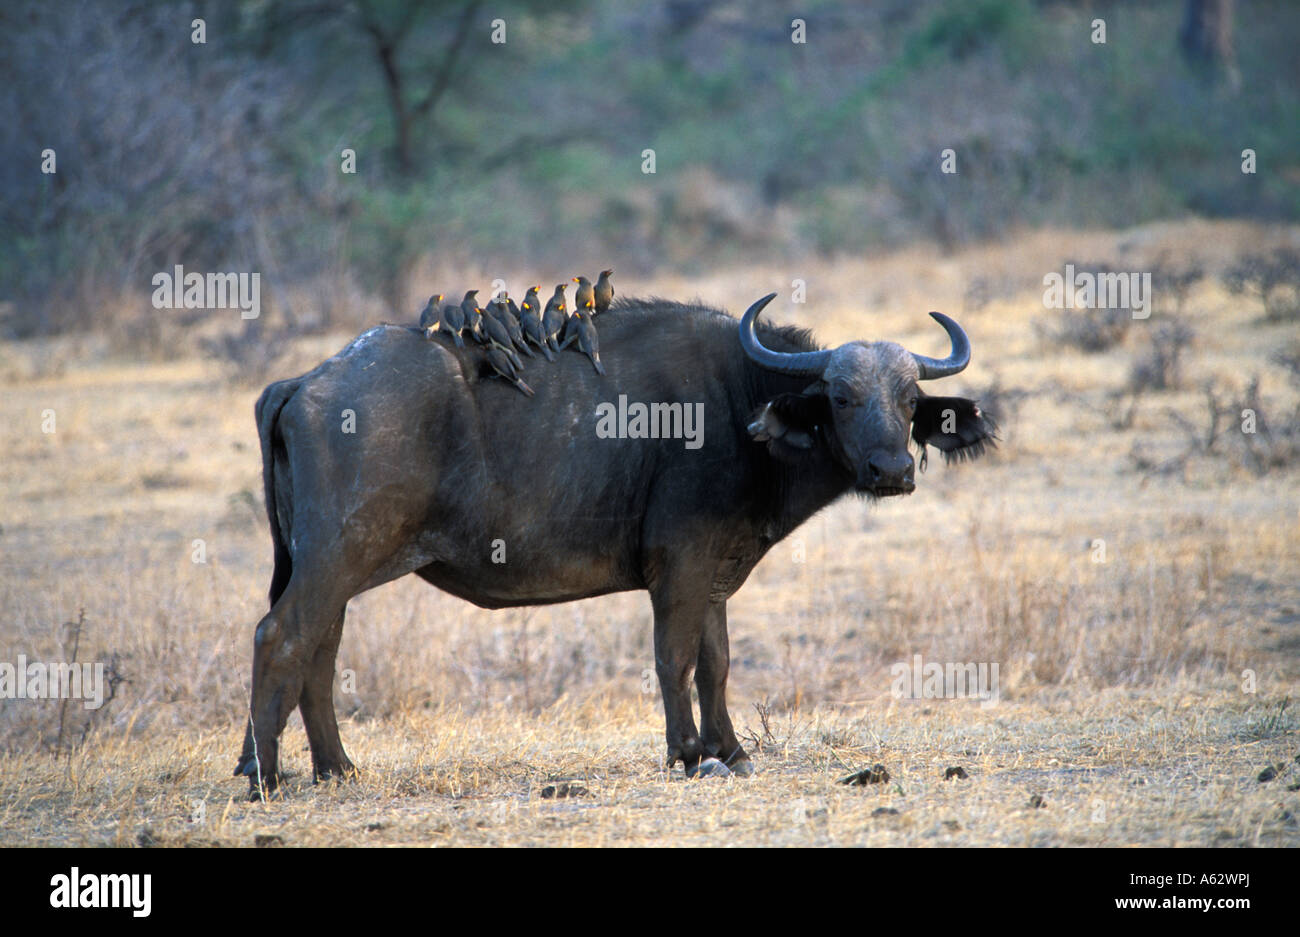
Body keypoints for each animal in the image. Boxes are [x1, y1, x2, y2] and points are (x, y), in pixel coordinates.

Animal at [239, 292, 998, 790]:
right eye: (840, 398)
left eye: (908, 401)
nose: (893, 470)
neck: (737, 404)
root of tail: (306, 382)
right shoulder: (680, 566)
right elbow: (674, 659)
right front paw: (687, 752)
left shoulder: (714, 572)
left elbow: (716, 661)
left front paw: (729, 749)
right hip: (338, 557)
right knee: (280, 636)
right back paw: (265, 773)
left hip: (332, 567)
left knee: (319, 651)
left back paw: (337, 768)